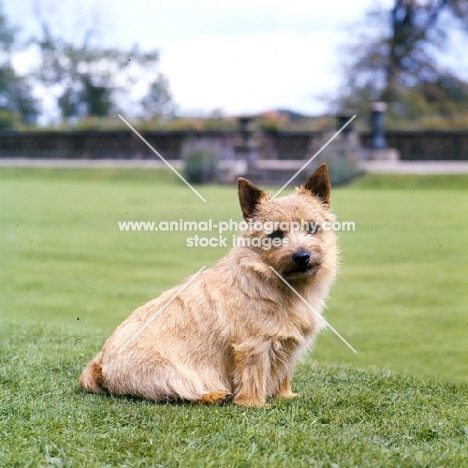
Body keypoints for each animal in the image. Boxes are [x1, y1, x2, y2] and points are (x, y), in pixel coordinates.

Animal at [79, 164, 336, 406]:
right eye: (275, 235)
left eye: (312, 228)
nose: (302, 256)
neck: (276, 282)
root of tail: (99, 364)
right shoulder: (252, 346)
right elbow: (253, 377)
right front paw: (254, 404)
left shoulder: (288, 348)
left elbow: (284, 374)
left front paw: (286, 396)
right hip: (168, 372)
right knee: (180, 391)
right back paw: (214, 395)